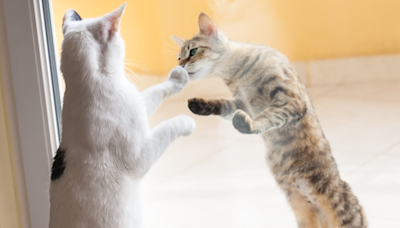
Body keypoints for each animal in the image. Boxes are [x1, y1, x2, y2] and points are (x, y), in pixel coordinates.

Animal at [49, 4, 196, 228]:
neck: (85, 87)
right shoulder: (140, 158)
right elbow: (167, 127)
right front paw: (186, 122)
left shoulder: (137, 105)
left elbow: (153, 93)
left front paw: (178, 78)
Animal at [171, 12, 366, 228]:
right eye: (178, 57)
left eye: (193, 51)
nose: (179, 66)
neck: (236, 75)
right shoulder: (240, 104)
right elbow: (223, 105)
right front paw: (199, 105)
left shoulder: (288, 100)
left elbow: (269, 117)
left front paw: (248, 124)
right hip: (302, 213)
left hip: (342, 211)